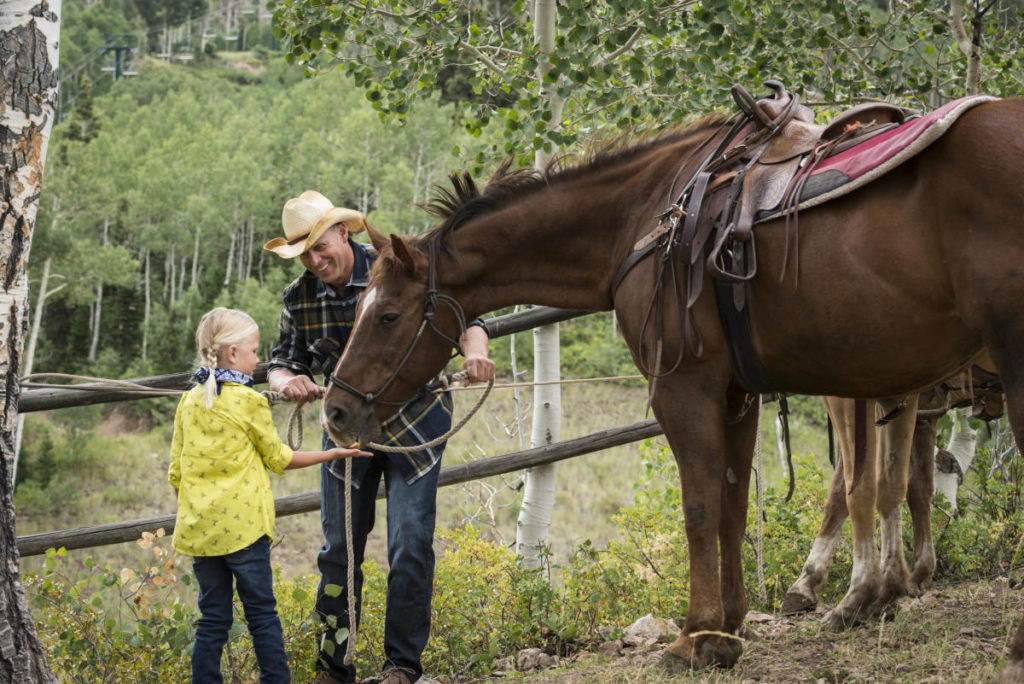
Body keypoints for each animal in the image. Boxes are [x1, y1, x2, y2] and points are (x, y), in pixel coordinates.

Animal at [323, 98, 1024, 671]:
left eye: (387, 316)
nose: (335, 411)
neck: (646, 218)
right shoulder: (739, 395)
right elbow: (734, 506)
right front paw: (733, 624)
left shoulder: (684, 389)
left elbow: (700, 507)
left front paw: (699, 635)